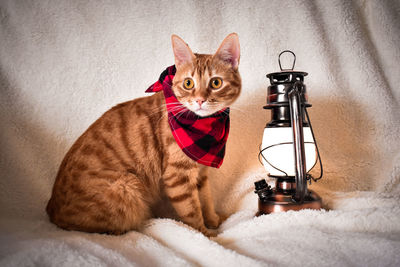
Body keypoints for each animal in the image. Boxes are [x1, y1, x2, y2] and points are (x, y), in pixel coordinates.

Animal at [46, 33, 241, 237]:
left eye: (216, 83)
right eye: (188, 83)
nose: (200, 100)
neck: (203, 131)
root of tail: (51, 211)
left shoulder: (201, 174)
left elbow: (207, 200)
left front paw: (214, 220)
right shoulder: (178, 177)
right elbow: (192, 213)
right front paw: (208, 235)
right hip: (127, 186)